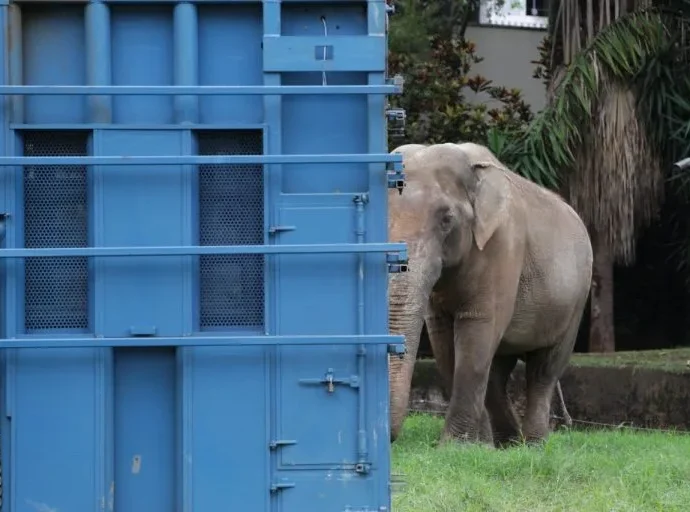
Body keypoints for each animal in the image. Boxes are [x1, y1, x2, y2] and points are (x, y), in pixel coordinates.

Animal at [387, 142, 592, 447]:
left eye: (447, 219)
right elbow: (443, 340)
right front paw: (476, 445)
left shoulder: (503, 245)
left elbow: (478, 327)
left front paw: (456, 446)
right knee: (498, 370)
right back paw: (507, 441)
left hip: (576, 300)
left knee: (544, 368)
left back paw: (533, 443)